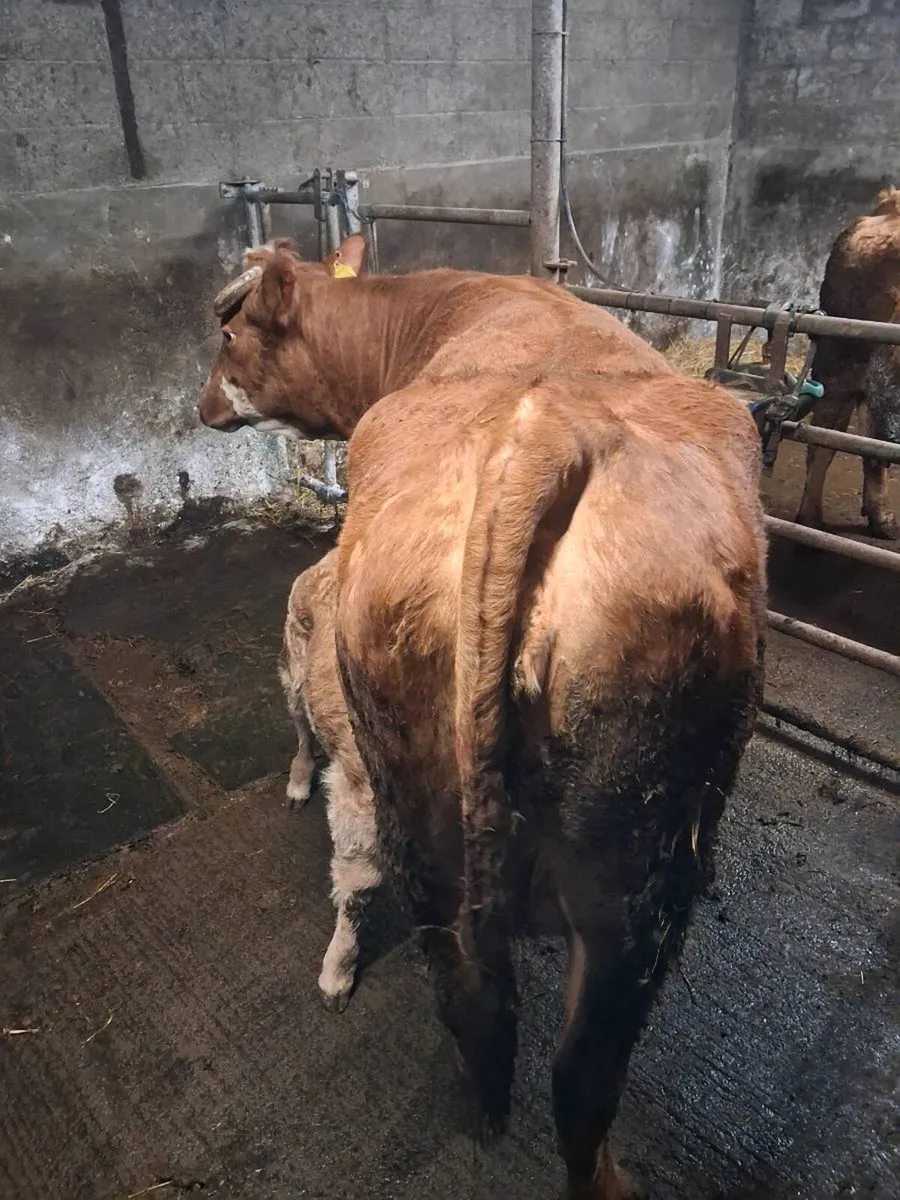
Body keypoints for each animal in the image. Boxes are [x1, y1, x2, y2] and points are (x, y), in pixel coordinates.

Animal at [198, 236, 767, 1200]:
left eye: (230, 337)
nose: (200, 406)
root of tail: (544, 432)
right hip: (627, 865)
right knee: (573, 1066)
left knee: (487, 1013)